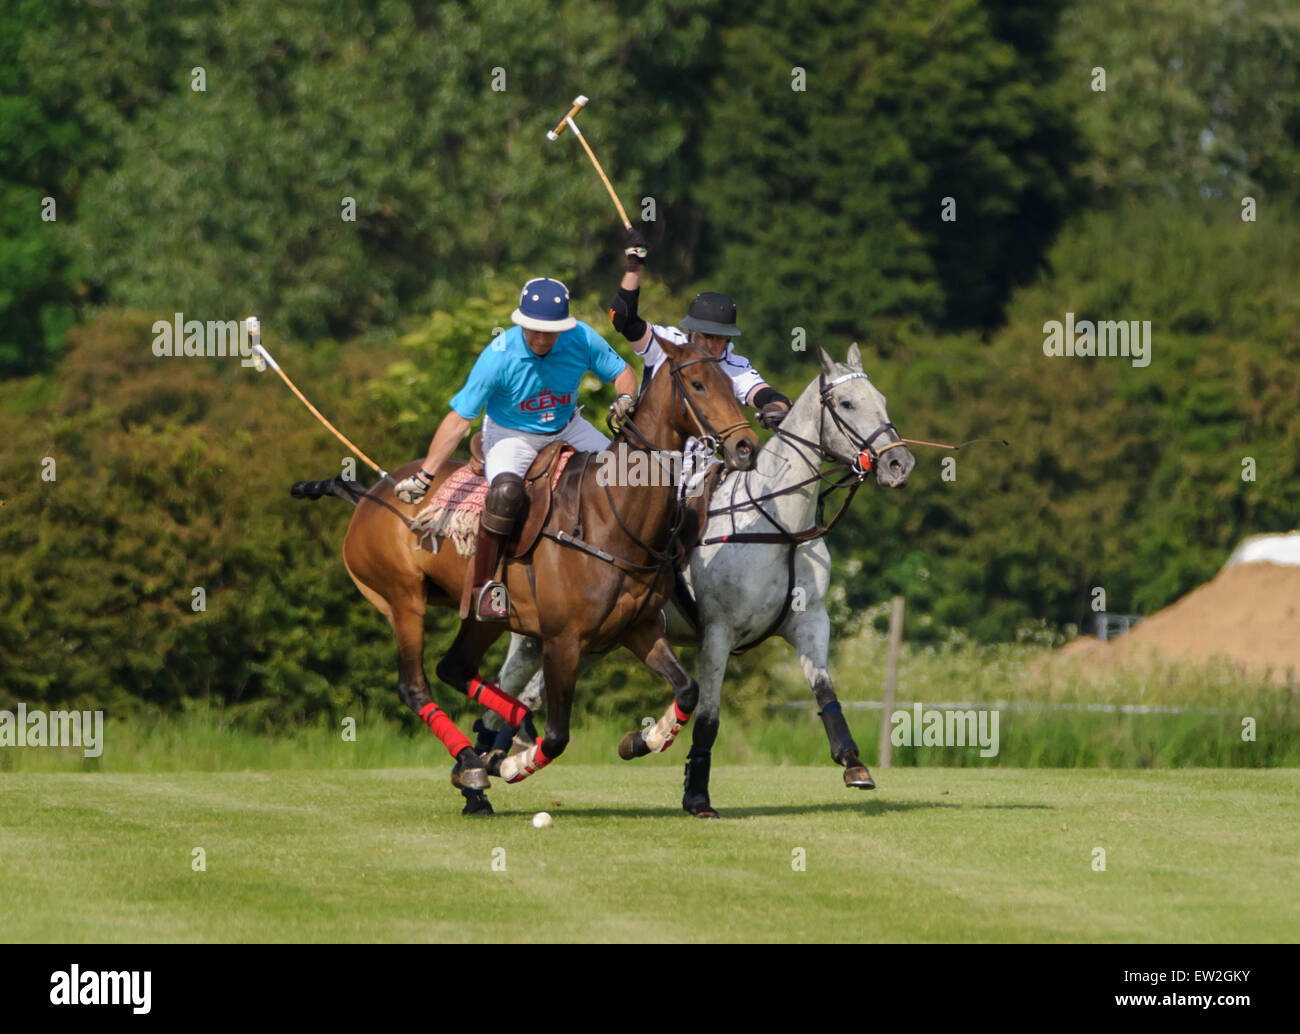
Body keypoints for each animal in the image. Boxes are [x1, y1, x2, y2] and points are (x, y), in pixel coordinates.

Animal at [289, 335, 759, 811]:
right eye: (698, 384)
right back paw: (477, 763)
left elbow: (687, 689)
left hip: (483, 616)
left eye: (730, 382)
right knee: (415, 685)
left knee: (454, 668)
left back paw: (492, 749)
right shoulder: (563, 640)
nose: (746, 447)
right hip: (403, 600)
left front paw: (644, 738)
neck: (611, 514)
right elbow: (557, 737)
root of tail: (372, 495)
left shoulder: (638, 627)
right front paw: (512, 765)